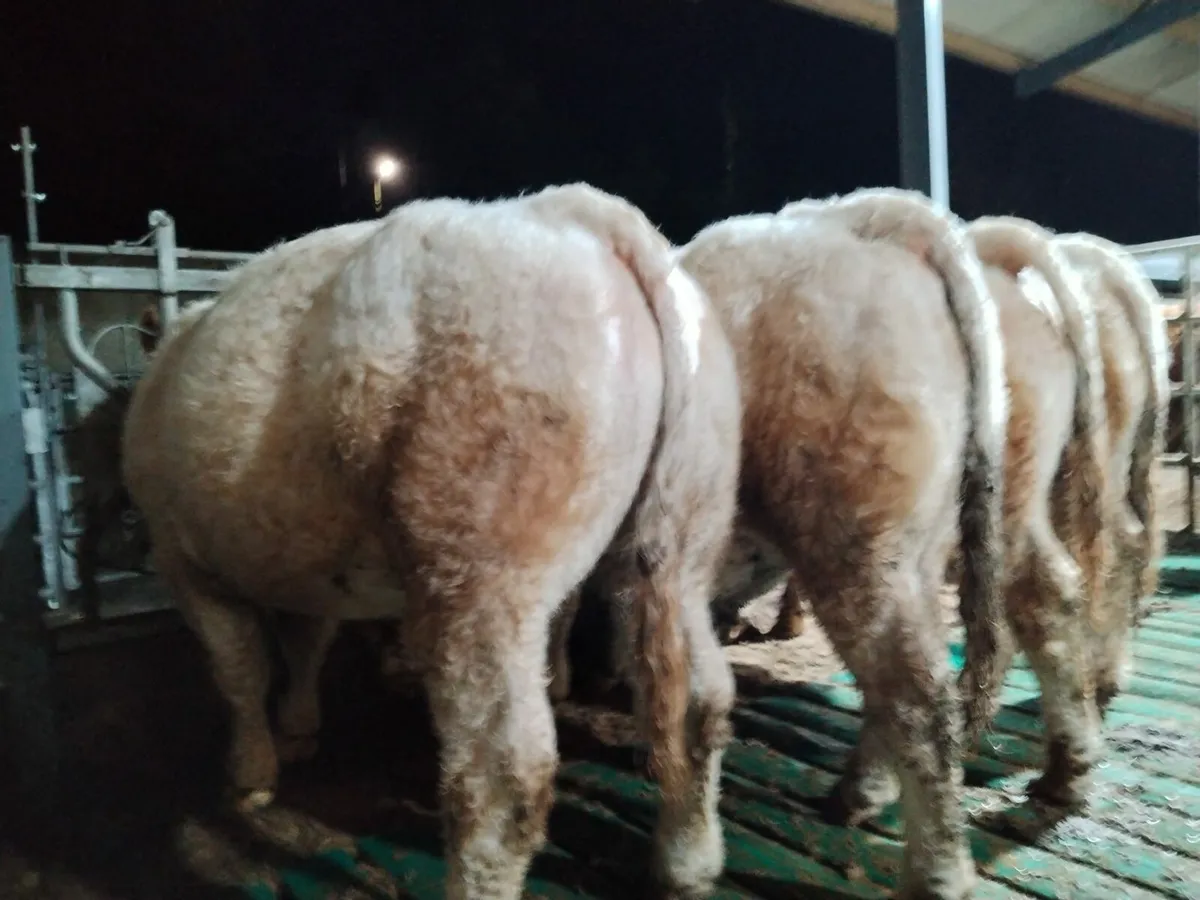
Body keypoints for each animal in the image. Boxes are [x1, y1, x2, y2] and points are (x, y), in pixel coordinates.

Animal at [109, 183, 742, 900]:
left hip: (480, 576)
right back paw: (688, 861)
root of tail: (582, 214)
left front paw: (251, 775)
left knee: (502, 776)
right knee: (703, 701)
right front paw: (297, 728)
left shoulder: (183, 559)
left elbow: (240, 670)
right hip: (682, 538)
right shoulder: (305, 568)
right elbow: (304, 643)